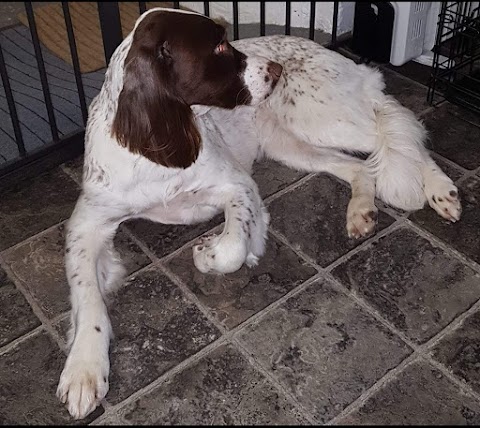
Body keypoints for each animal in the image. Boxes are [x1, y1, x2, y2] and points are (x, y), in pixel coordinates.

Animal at [56, 6, 462, 420]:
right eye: (219, 46)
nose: (277, 70)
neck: (155, 148)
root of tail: (346, 60)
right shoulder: (87, 224)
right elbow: (88, 296)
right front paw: (84, 367)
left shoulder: (237, 185)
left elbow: (233, 247)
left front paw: (208, 251)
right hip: (292, 143)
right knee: (362, 165)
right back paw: (361, 211)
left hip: (322, 120)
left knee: (397, 129)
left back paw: (440, 190)